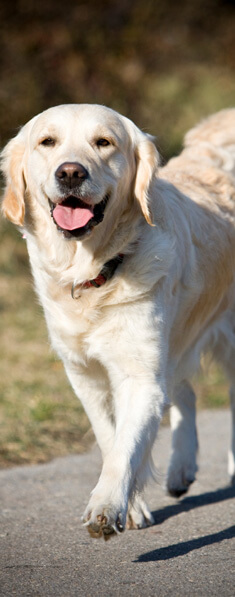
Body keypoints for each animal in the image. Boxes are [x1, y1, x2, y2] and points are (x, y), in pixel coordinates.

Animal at [0, 105, 234, 536]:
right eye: (47, 142)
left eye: (104, 142)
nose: (70, 173)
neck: (96, 272)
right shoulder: (83, 374)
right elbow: (111, 438)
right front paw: (134, 504)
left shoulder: (140, 374)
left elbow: (127, 445)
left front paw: (107, 507)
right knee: (185, 392)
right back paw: (181, 469)